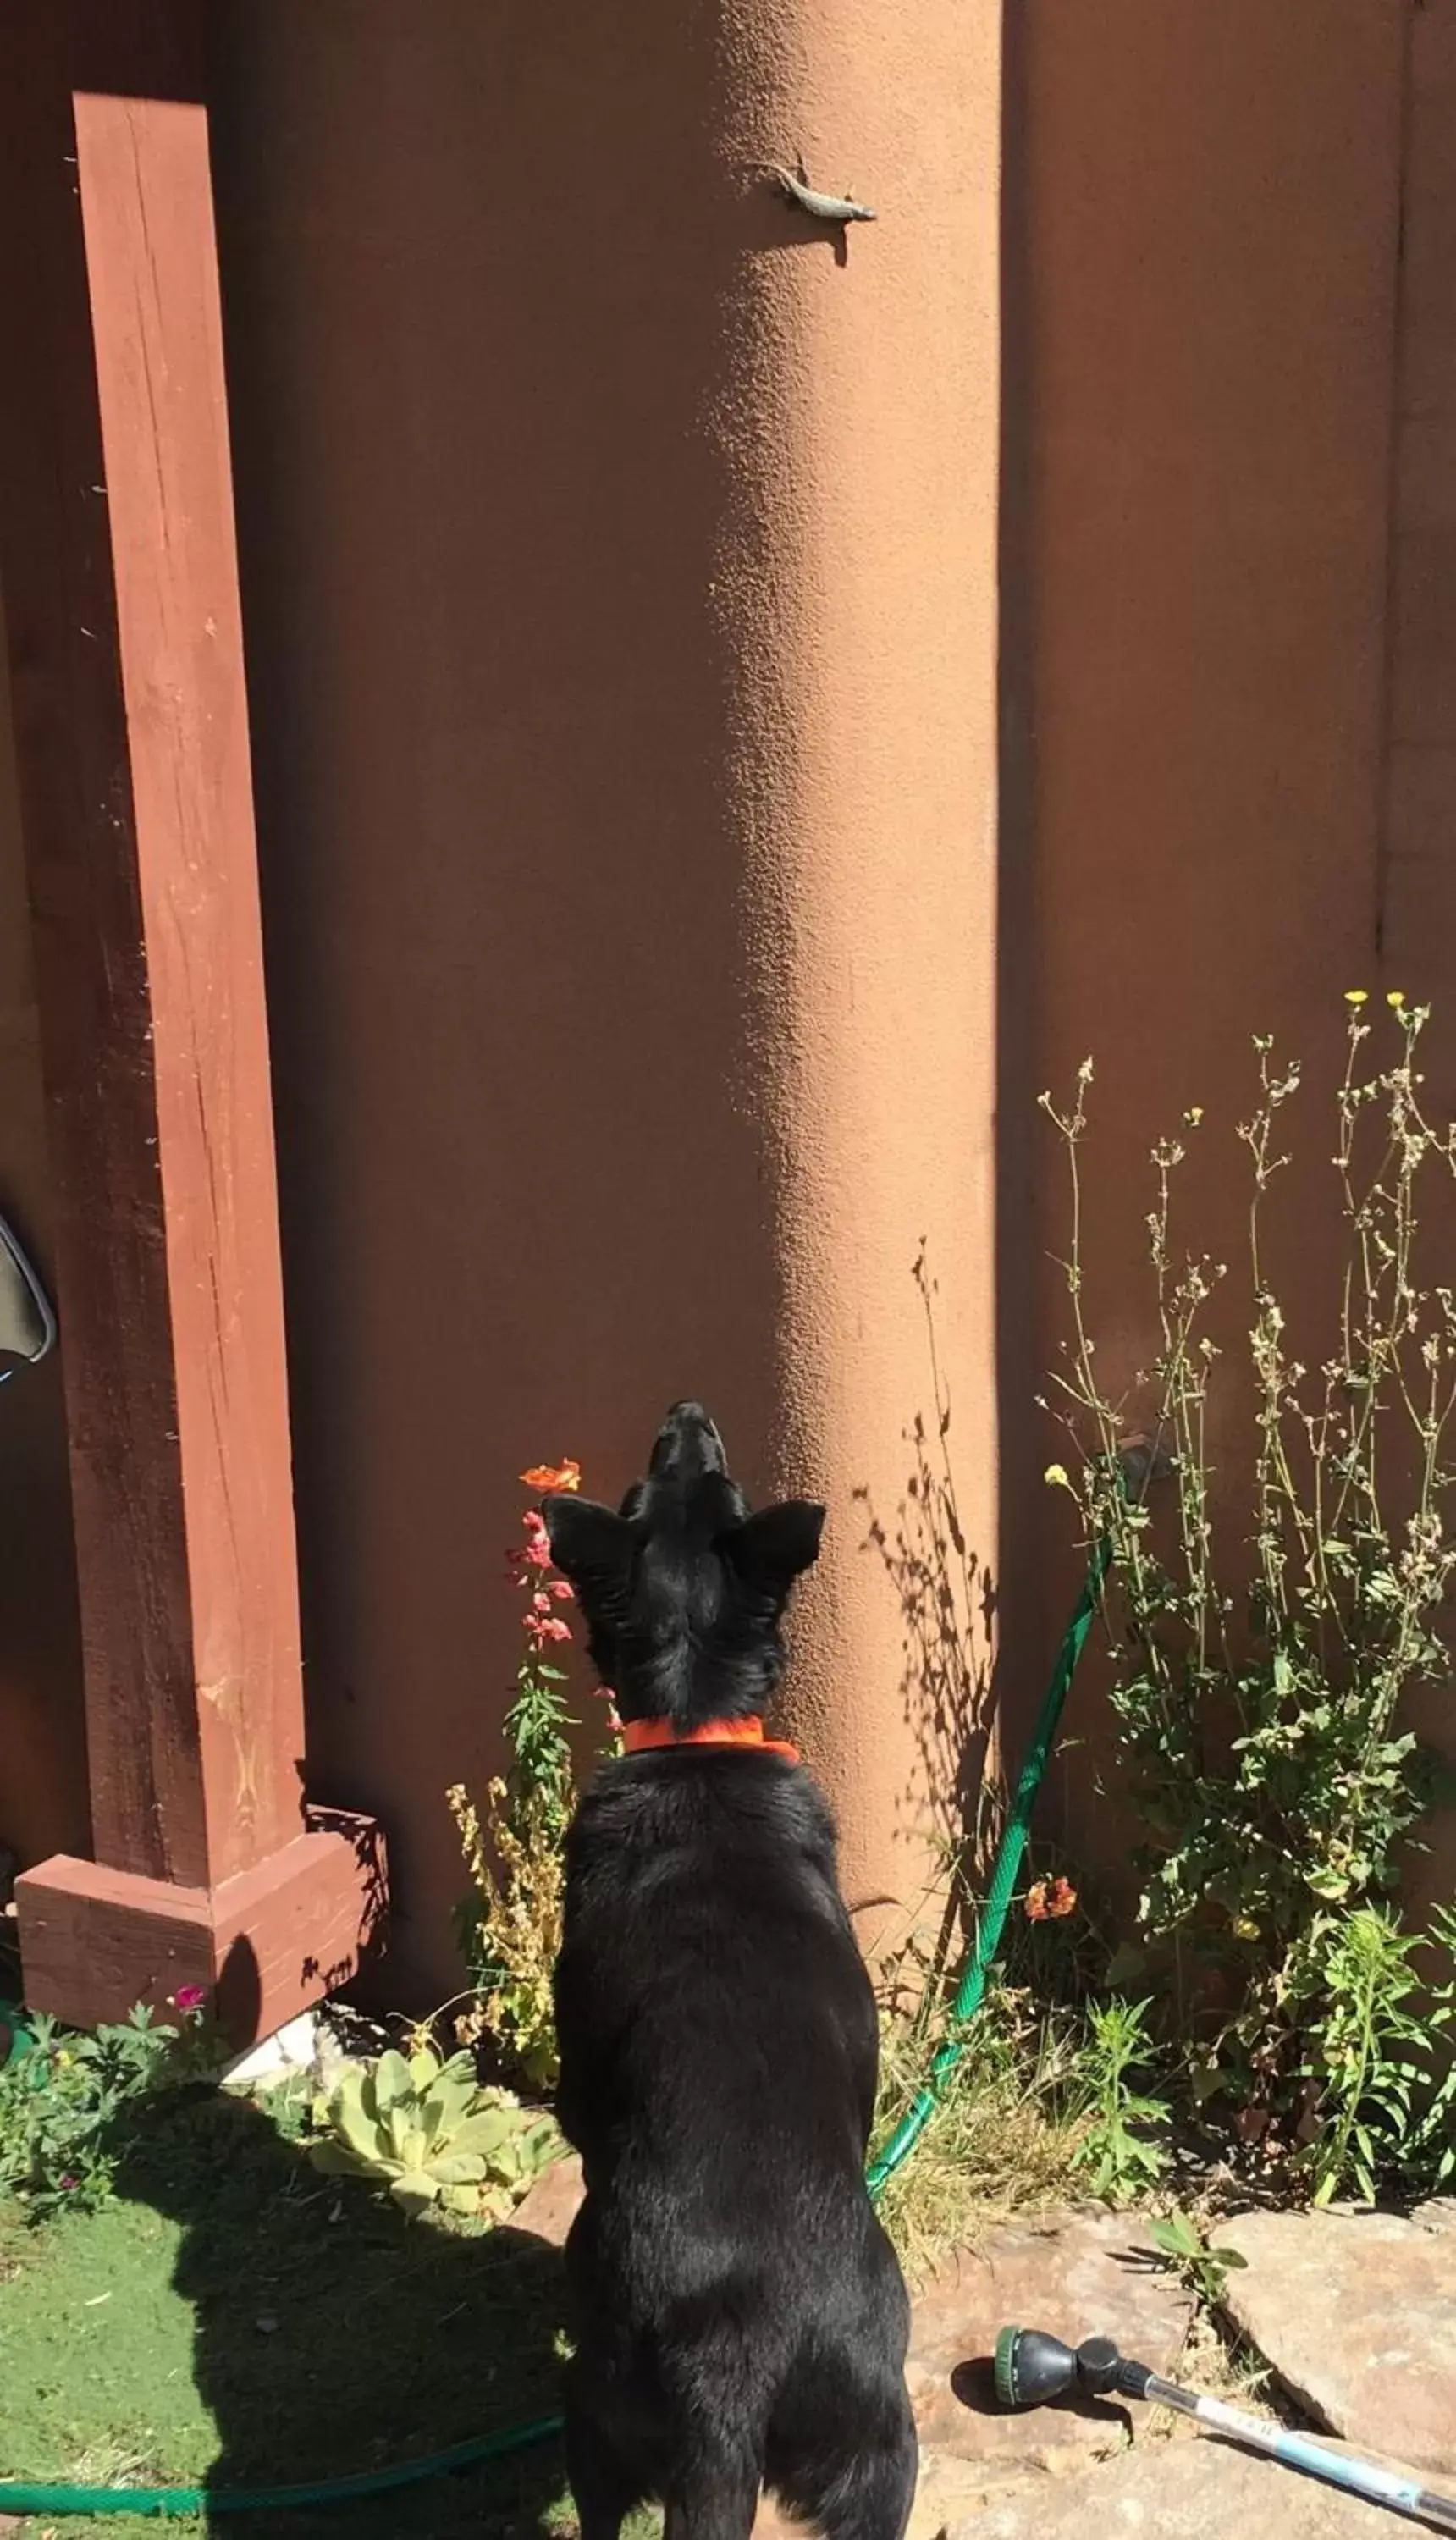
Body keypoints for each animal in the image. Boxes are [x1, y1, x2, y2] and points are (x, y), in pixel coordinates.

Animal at [538, 1402, 914, 2540]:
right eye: (686, 1485)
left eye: (652, 1488)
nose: (689, 1413)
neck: (696, 1726)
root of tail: (731, 2353)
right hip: (879, 2451)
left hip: (593, 2412)